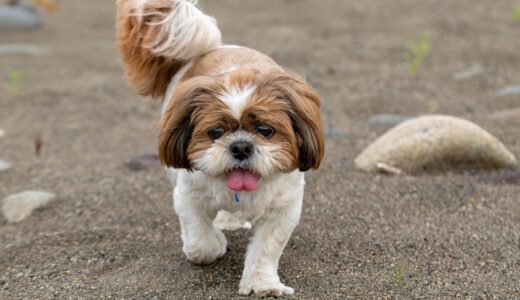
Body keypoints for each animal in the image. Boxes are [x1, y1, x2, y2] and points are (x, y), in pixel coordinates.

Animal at [116, 0, 322, 296]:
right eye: (215, 132)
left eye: (265, 130)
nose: (241, 146)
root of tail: (212, 47)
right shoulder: (187, 197)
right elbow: (200, 243)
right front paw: (216, 243)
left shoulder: (284, 209)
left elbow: (266, 249)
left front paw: (263, 284)